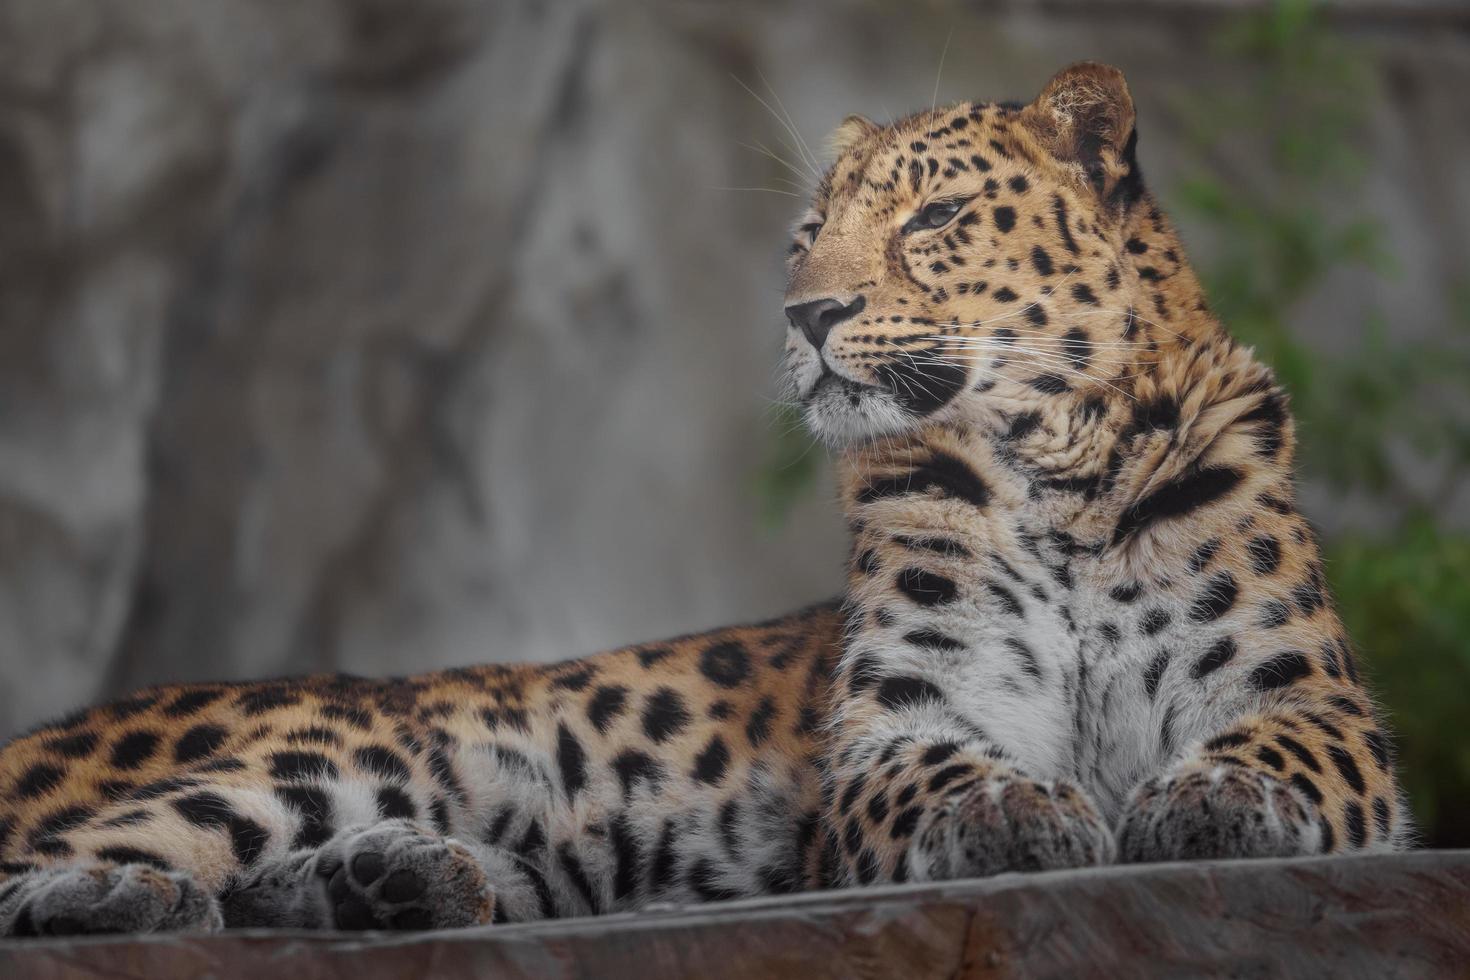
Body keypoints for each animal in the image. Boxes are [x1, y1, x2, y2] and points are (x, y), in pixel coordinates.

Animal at [0, 59, 1405, 934]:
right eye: (807, 237)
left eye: (936, 218)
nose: (807, 313)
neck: (1058, 464)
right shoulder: (893, 727)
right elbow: (952, 769)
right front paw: (1019, 807)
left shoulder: (1316, 701)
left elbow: (1271, 746)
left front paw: (1203, 800)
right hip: (335, 752)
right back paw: (132, 899)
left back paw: (408, 881)